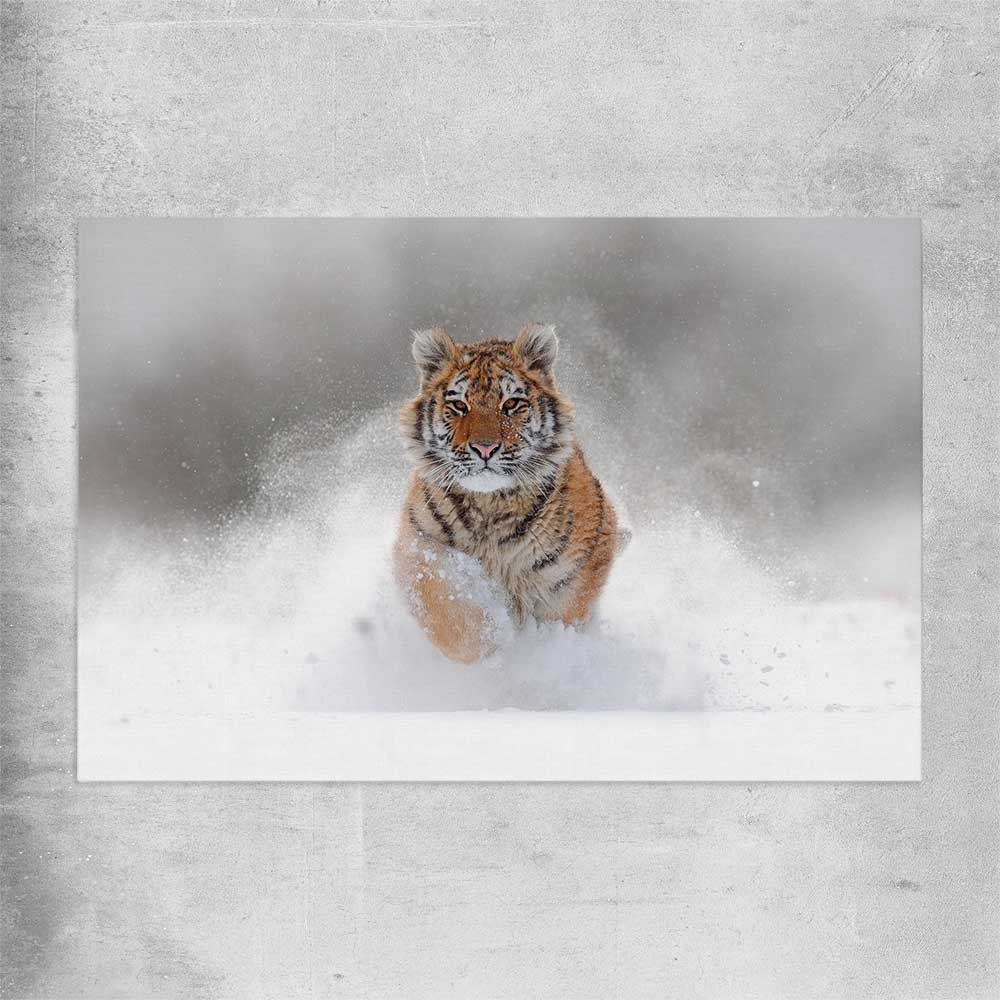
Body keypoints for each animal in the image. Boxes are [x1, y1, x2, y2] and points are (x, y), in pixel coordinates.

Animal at [393, 323, 629, 664]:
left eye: (511, 404)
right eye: (459, 406)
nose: (484, 448)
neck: (490, 505)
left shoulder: (569, 579)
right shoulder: (419, 548)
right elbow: (450, 614)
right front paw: (490, 650)